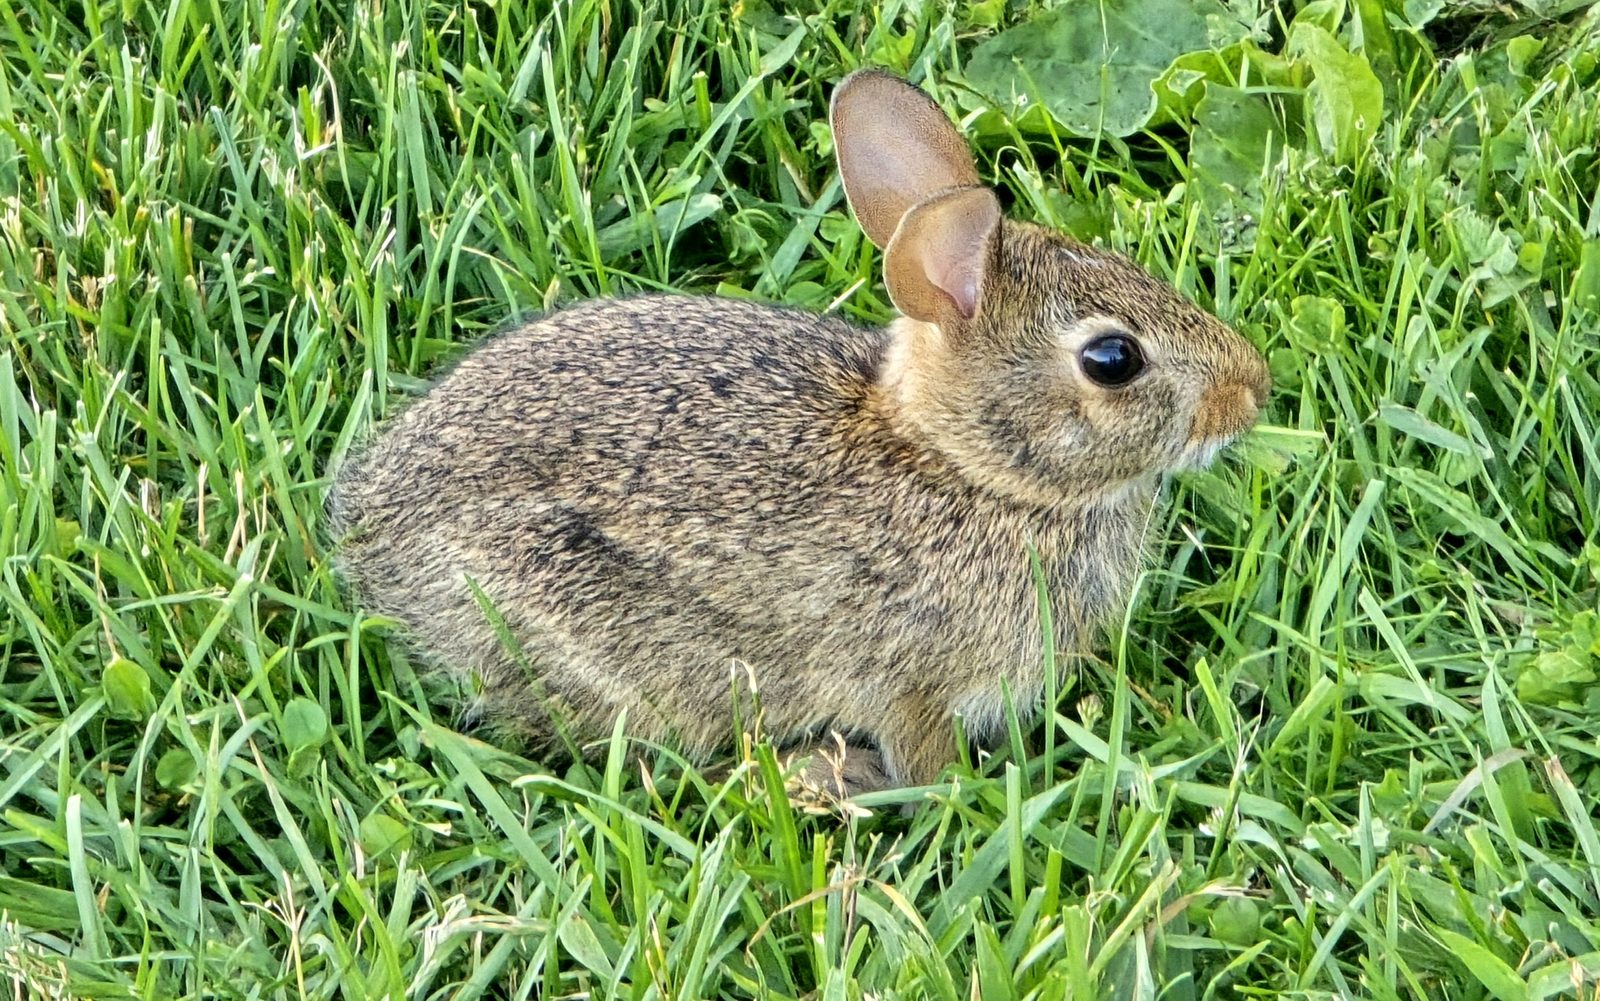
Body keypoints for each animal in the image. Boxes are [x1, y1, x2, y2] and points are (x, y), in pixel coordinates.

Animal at [326, 69, 1272, 797]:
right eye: (1113, 359)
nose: (1251, 390)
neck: (967, 468)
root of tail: (368, 530)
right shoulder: (910, 679)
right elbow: (922, 751)